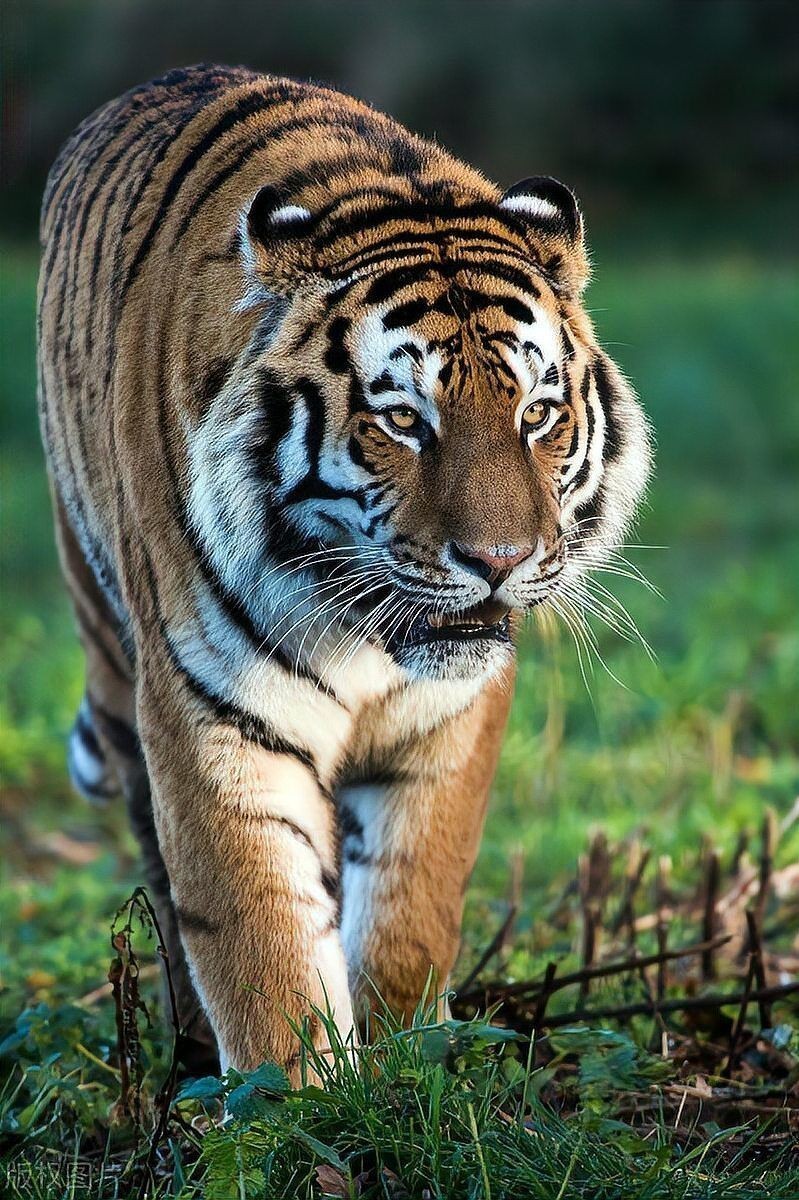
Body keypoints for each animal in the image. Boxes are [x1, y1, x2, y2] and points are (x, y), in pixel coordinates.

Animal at [38, 64, 651, 1078]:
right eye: (402, 420)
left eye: (536, 414)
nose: (500, 562)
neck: (363, 633)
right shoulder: (215, 716)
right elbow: (260, 941)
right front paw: (302, 1096)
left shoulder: (451, 719)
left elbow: (412, 905)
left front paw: (406, 1063)